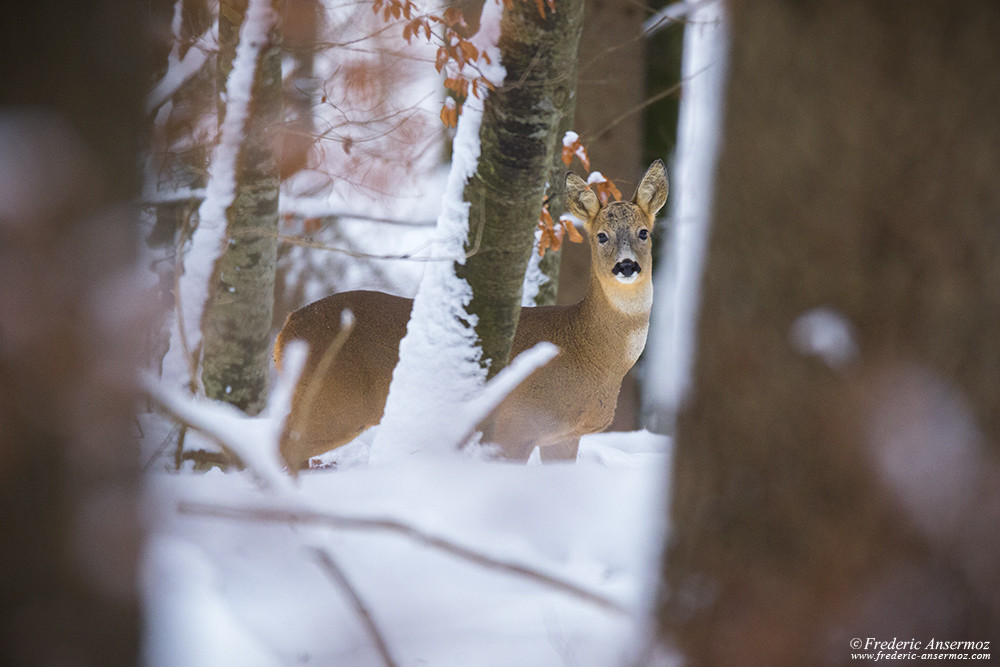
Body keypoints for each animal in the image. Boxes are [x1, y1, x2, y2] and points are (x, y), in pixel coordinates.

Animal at [274, 160, 668, 470]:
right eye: (601, 236)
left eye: (643, 232)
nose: (627, 266)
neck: (588, 351)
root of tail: (286, 328)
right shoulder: (515, 425)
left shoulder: (563, 436)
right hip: (335, 401)